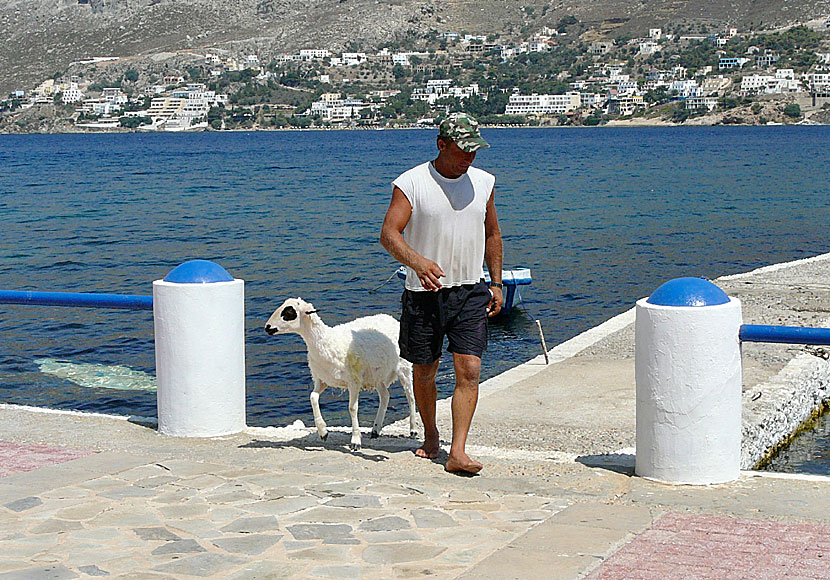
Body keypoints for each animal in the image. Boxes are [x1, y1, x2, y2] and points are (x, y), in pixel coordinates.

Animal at [266, 296, 420, 450]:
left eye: (289, 313)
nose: (267, 327)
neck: (325, 341)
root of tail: (391, 319)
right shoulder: (322, 380)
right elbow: (313, 398)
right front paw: (323, 432)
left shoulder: (354, 382)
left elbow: (352, 408)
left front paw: (355, 441)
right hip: (375, 375)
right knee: (385, 395)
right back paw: (375, 430)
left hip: (404, 367)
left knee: (411, 396)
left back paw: (413, 430)